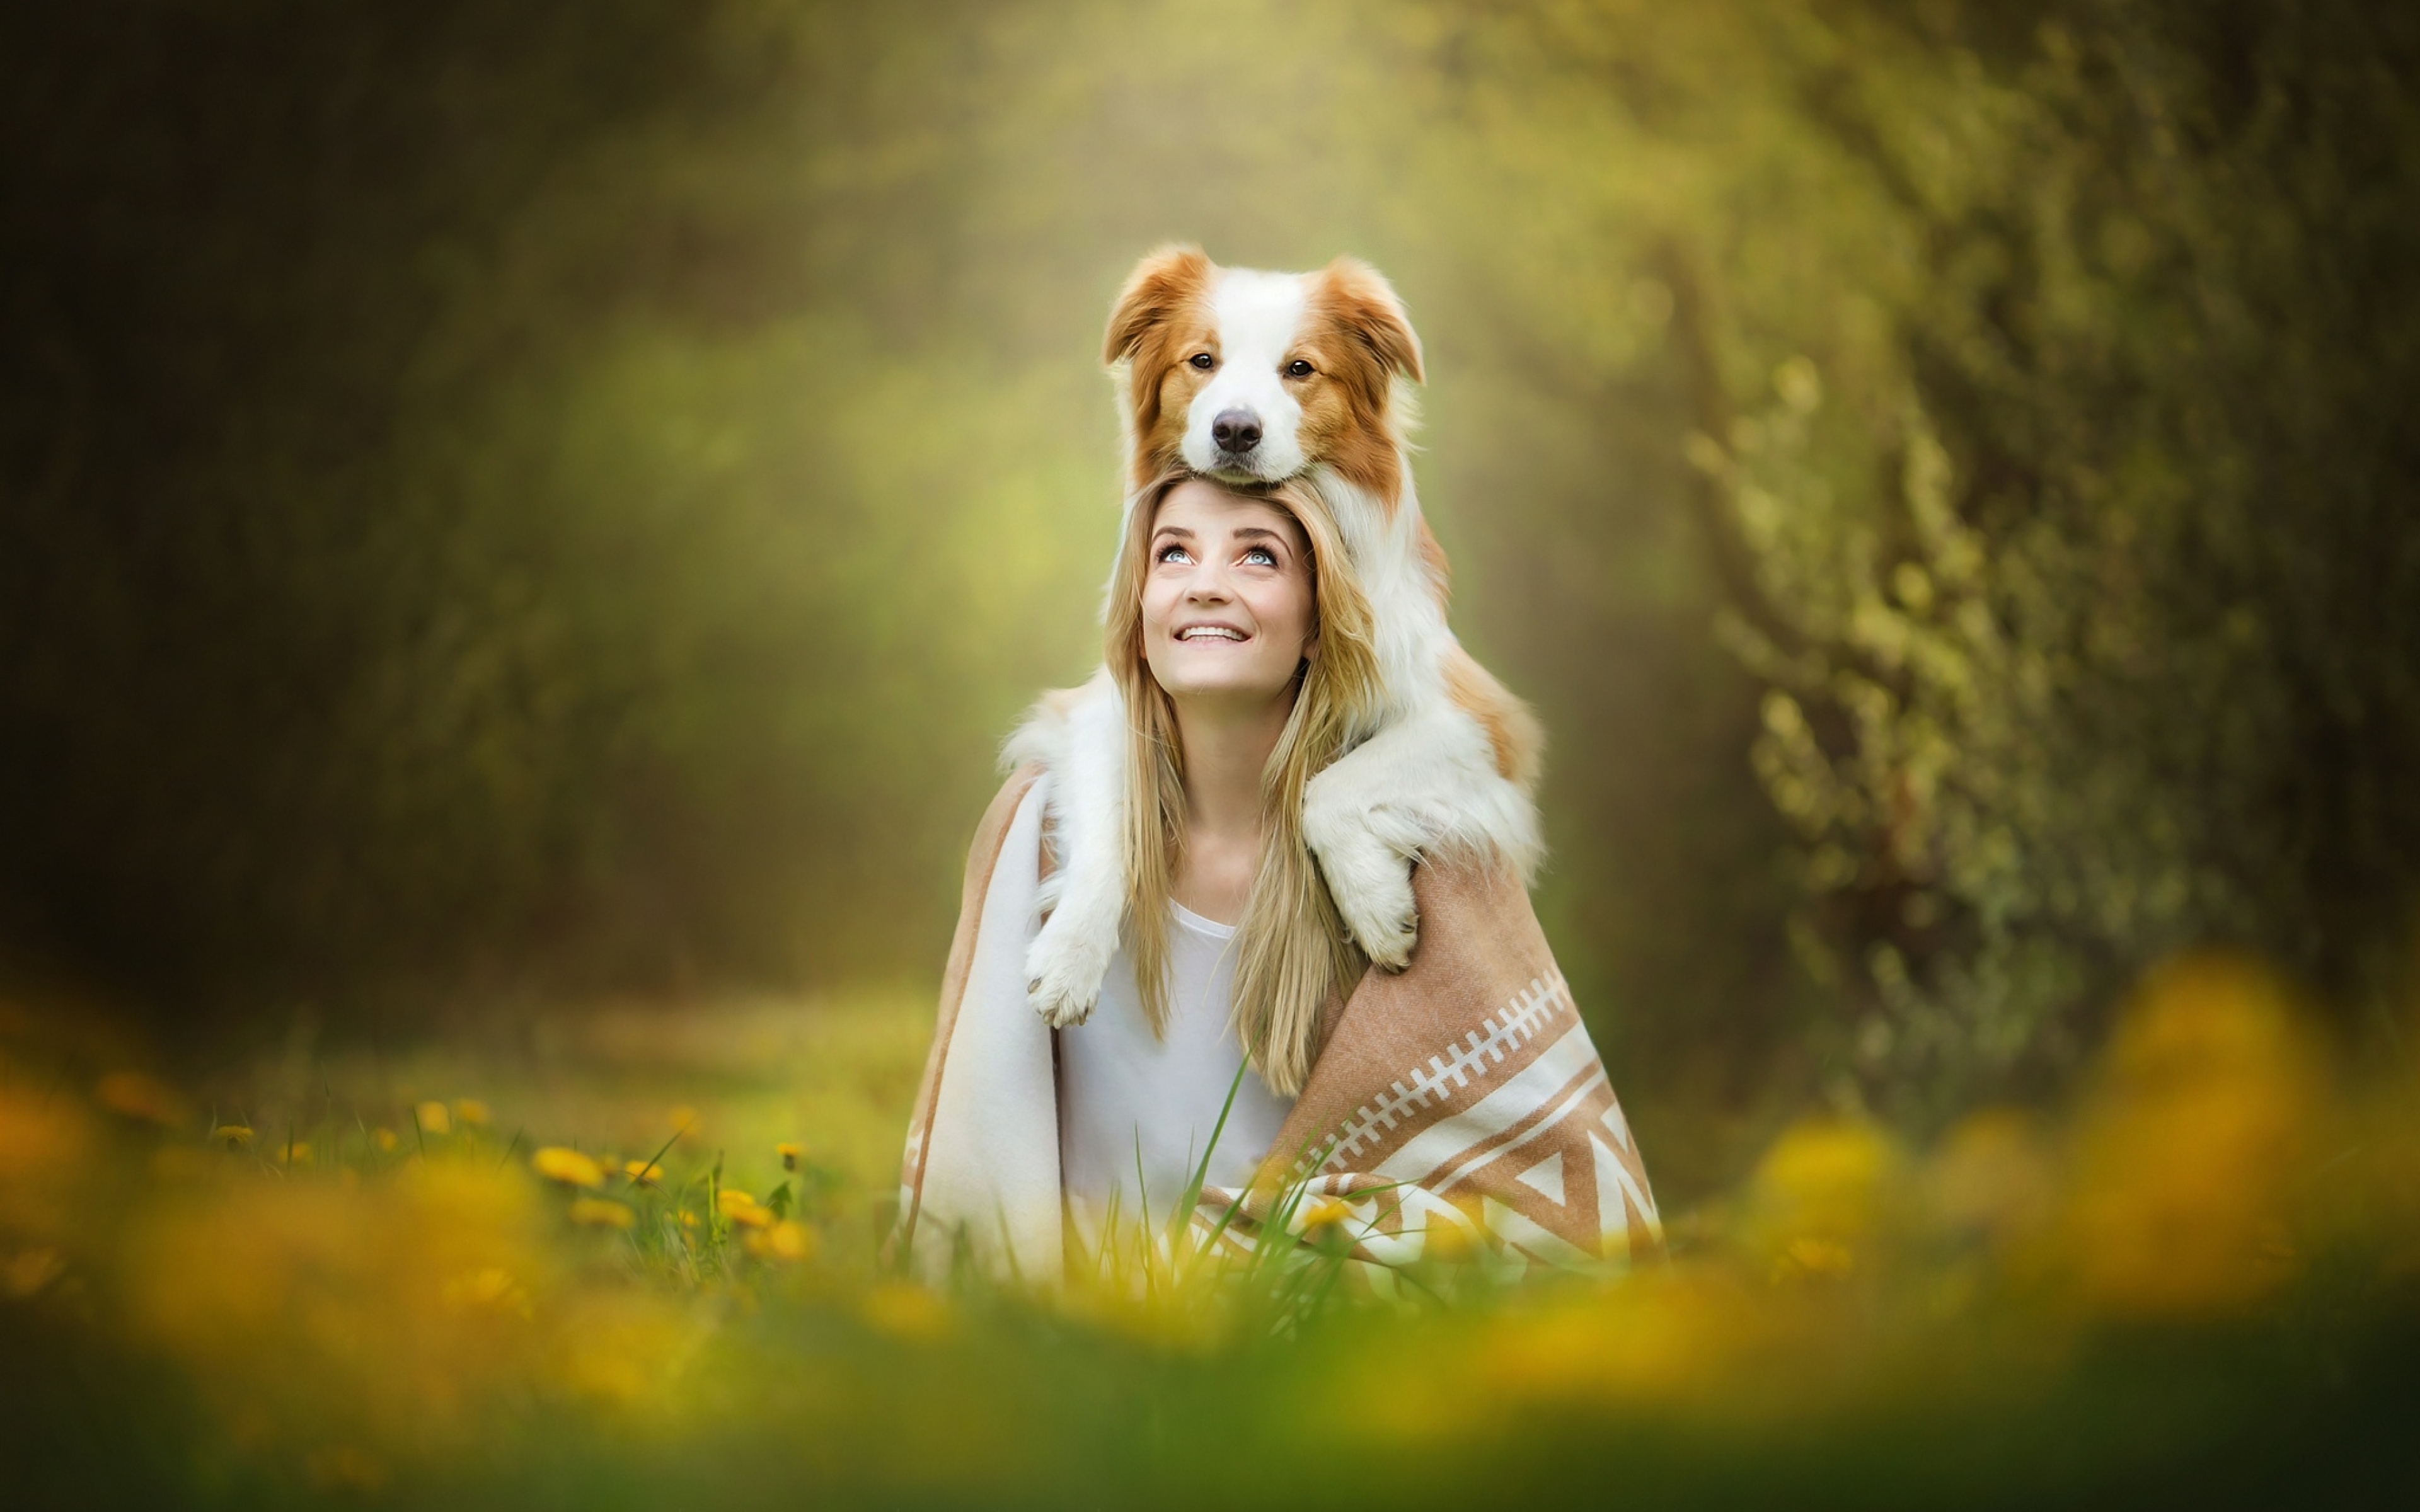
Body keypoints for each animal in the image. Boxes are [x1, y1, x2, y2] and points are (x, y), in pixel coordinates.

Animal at [1011, 244, 1539, 1026]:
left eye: (1300, 369)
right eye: (1202, 361)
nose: (1235, 429)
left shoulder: (1482, 723)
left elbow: (1329, 785)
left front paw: (1376, 905)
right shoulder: (1105, 703)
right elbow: (1116, 814)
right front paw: (1072, 954)